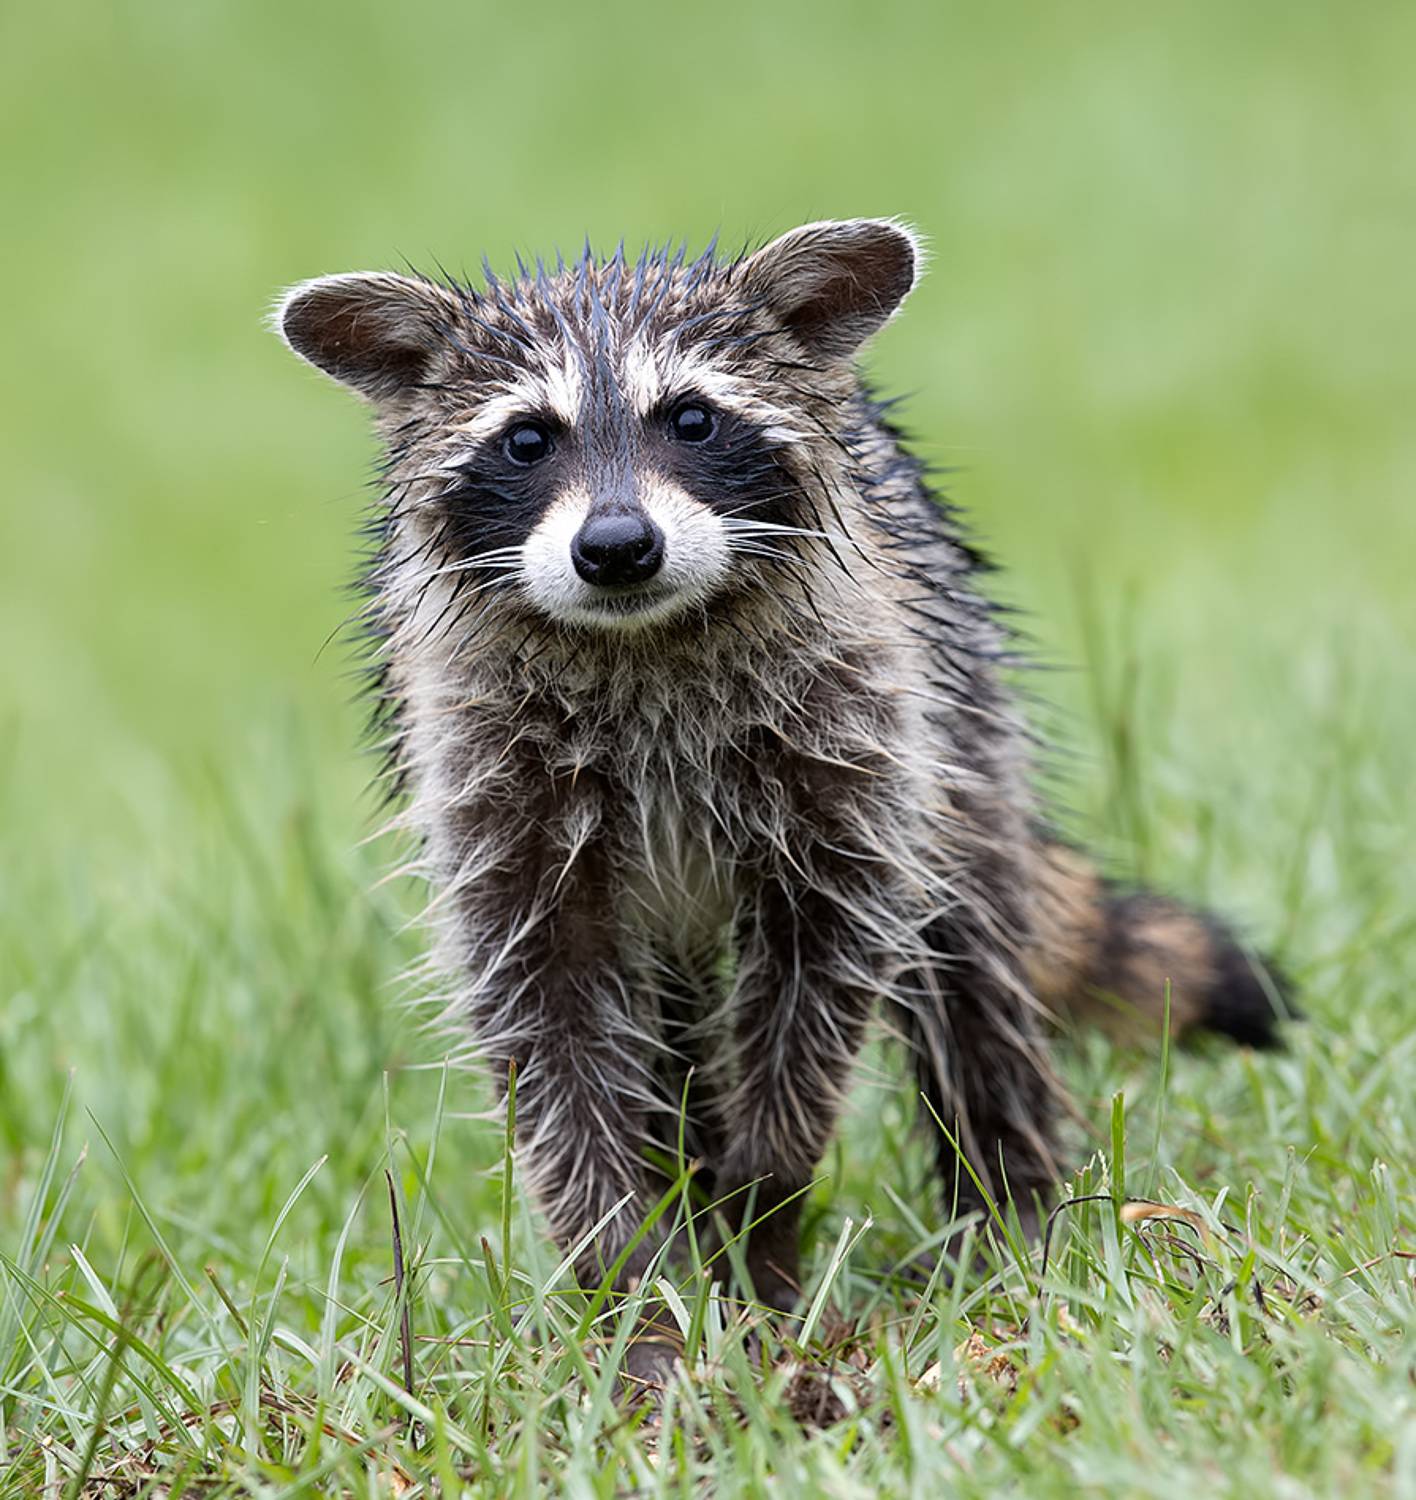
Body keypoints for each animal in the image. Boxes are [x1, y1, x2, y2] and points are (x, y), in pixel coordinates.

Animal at [276, 219, 1289, 1320]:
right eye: (527, 440)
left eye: (692, 419)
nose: (617, 546)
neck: (644, 640)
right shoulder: (492, 786)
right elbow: (549, 1033)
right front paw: (631, 1286)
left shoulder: (855, 737)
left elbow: (824, 973)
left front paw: (762, 1228)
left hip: (961, 714)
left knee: (971, 961)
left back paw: (1000, 1206)